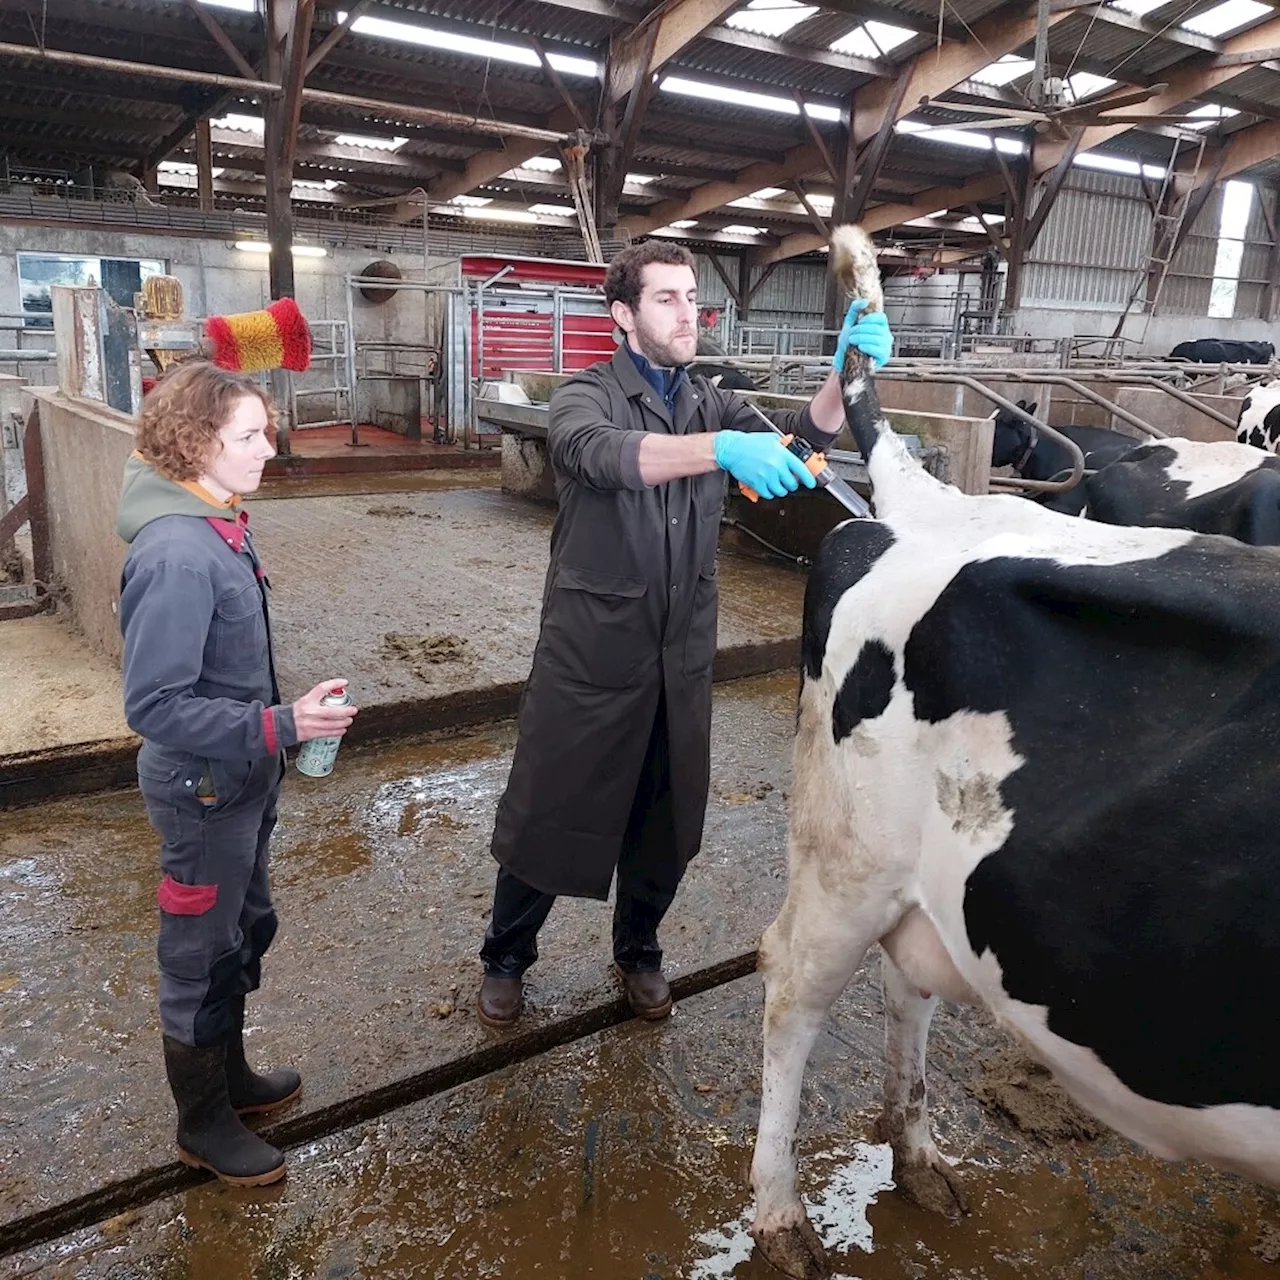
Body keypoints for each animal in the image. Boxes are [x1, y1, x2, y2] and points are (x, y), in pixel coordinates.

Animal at [747, 227, 1280, 1280]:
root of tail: (936, 499)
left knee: (910, 980)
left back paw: (917, 1155)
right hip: (844, 859)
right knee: (792, 988)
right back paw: (782, 1217)